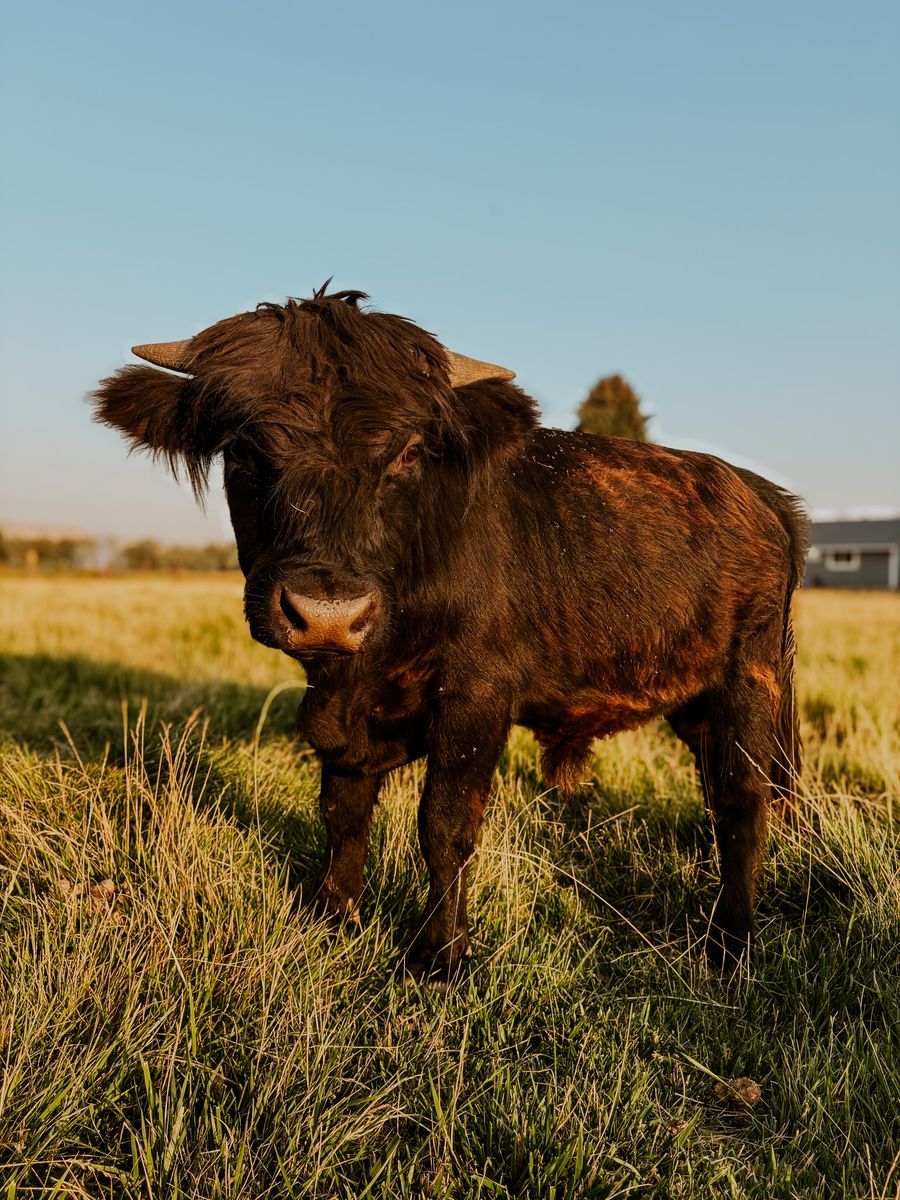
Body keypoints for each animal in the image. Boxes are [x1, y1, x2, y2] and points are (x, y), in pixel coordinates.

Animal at [93, 286, 809, 985]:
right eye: (243, 448)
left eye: (409, 451)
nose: (327, 612)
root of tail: (758, 493)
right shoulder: (340, 711)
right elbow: (342, 810)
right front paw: (333, 915)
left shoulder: (475, 699)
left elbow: (444, 823)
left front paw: (438, 954)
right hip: (695, 700)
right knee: (720, 791)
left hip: (751, 681)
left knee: (744, 800)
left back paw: (729, 943)